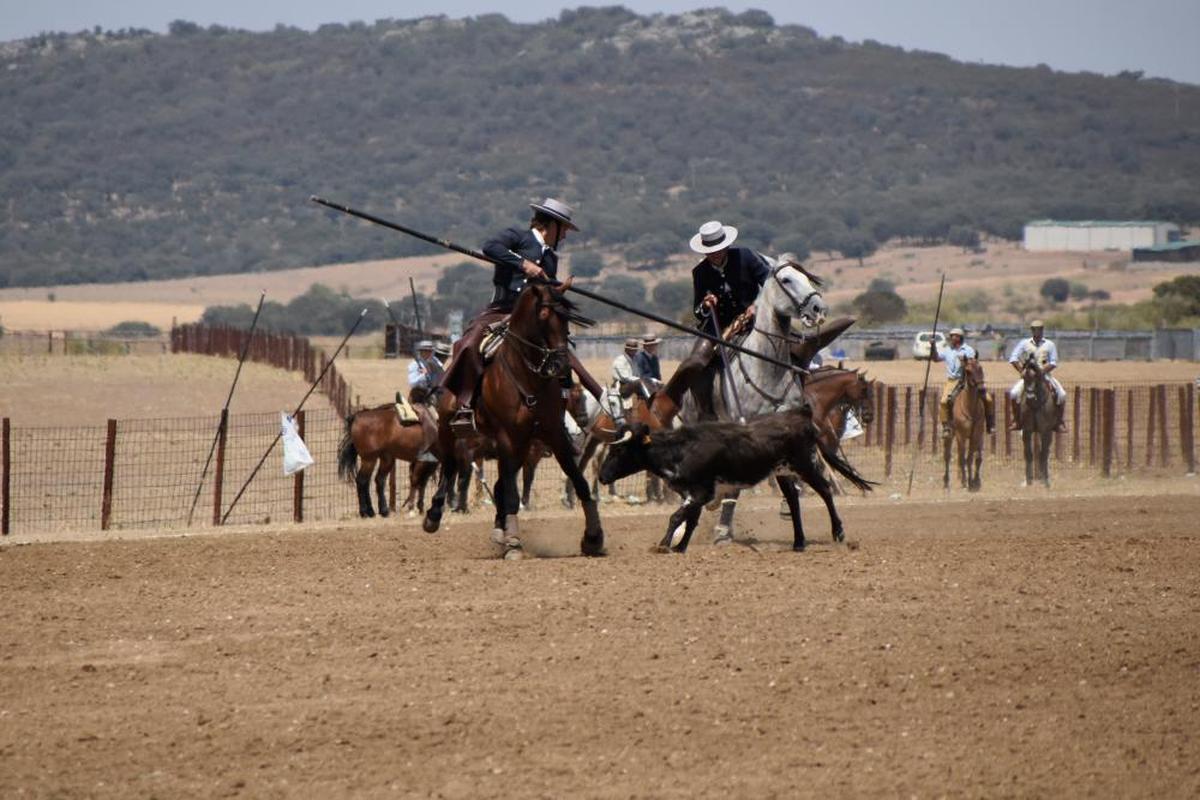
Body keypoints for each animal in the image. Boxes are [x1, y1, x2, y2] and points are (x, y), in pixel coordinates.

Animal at [424, 284, 609, 561]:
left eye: (566, 318)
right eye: (543, 315)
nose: (561, 365)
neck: (527, 377)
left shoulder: (553, 435)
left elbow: (579, 481)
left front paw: (593, 537)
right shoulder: (507, 437)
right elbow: (512, 493)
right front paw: (513, 542)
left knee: (498, 482)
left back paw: (498, 529)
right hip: (450, 429)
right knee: (450, 466)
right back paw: (435, 515)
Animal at [597, 412, 873, 551]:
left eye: (619, 450)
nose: (601, 476)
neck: (681, 450)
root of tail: (804, 420)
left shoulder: (700, 492)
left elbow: (677, 517)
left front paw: (664, 545)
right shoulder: (696, 494)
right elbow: (690, 521)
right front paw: (680, 547)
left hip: (804, 465)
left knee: (825, 490)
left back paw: (838, 532)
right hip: (783, 472)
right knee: (794, 502)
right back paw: (798, 542)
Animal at [940, 357, 988, 494]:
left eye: (981, 368)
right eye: (968, 371)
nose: (982, 390)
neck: (970, 408)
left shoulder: (975, 436)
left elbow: (970, 458)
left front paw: (972, 482)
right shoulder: (961, 436)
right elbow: (962, 458)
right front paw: (965, 482)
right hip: (950, 437)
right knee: (947, 456)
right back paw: (946, 482)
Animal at [1017, 355, 1056, 489]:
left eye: (1036, 376)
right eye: (1023, 377)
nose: (1029, 397)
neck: (1035, 404)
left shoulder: (1045, 431)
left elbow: (1043, 454)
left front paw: (1045, 481)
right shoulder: (1026, 431)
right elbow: (1028, 453)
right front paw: (1028, 480)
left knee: (1045, 452)